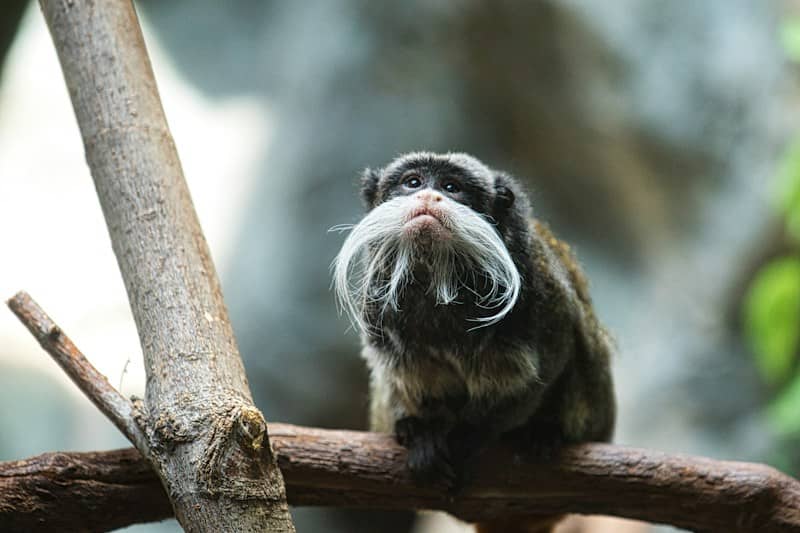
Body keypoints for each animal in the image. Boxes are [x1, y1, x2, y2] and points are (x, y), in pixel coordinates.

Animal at [332, 152, 615, 533]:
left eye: (452, 187)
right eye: (412, 183)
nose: (429, 196)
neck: (439, 279)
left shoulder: (544, 294)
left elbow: (544, 372)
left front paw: (468, 437)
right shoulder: (378, 306)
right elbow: (402, 376)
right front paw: (423, 434)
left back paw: (543, 434)